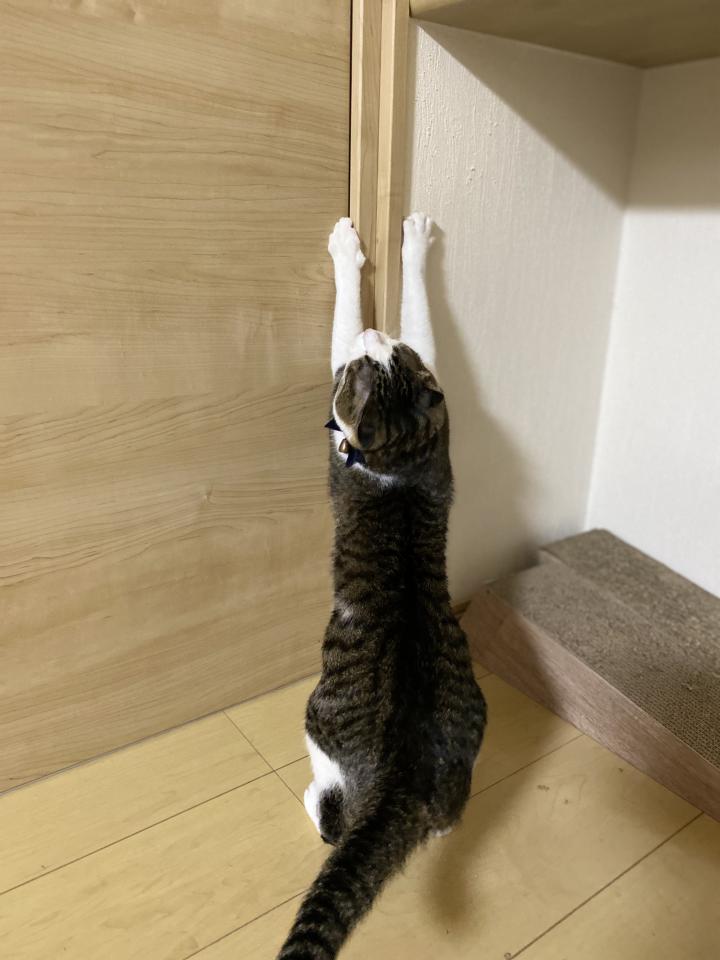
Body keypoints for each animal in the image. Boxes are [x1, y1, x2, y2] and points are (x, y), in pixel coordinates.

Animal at [277, 213, 487, 959]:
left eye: (362, 369)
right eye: (392, 357)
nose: (377, 336)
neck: (399, 459)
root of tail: (404, 774)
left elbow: (339, 319)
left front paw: (350, 253)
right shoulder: (447, 418)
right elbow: (430, 322)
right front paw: (416, 244)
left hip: (318, 718)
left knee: (334, 815)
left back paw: (314, 801)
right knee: (446, 819)